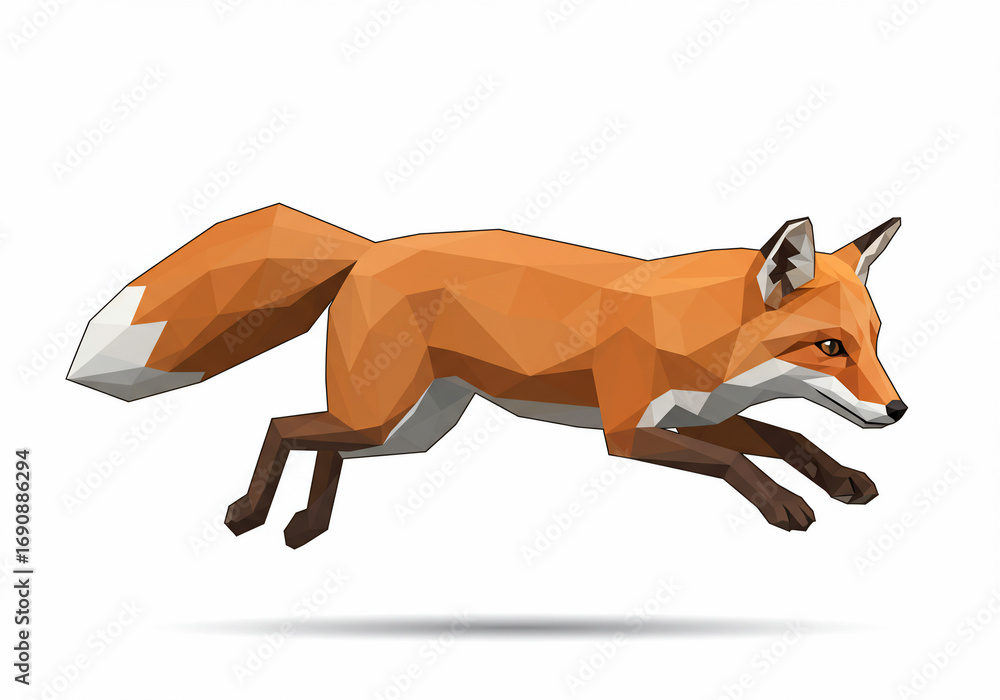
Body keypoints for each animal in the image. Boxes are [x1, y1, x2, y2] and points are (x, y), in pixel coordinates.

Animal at [68, 204, 906, 548]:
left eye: (873, 340)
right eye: (828, 347)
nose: (899, 411)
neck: (698, 331)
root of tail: (370, 247)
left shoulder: (691, 414)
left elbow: (786, 437)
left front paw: (839, 477)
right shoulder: (631, 431)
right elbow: (739, 459)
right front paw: (785, 506)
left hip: (409, 428)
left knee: (325, 444)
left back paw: (307, 526)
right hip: (386, 414)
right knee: (283, 425)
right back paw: (250, 513)